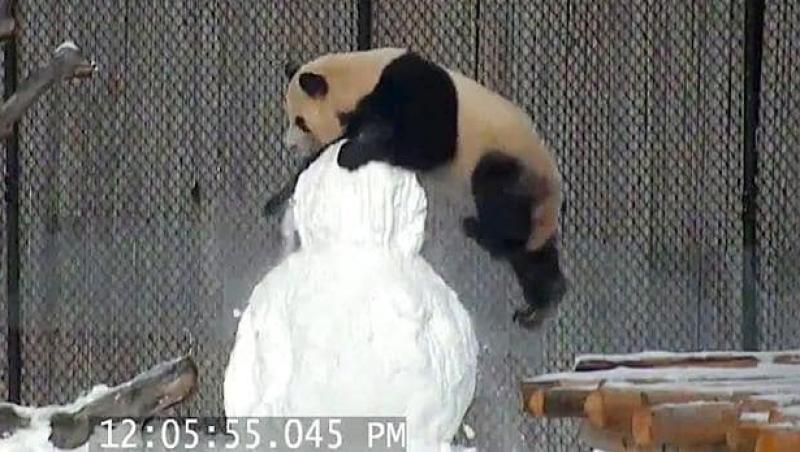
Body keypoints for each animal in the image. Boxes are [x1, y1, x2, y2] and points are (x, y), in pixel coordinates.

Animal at [269, 47, 567, 329]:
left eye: (301, 122)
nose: (289, 144)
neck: (361, 77)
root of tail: (553, 192)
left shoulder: (414, 91)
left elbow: (428, 144)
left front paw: (352, 154)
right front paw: (276, 199)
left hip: (510, 162)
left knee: (496, 193)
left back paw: (481, 232)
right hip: (532, 198)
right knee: (532, 257)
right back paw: (541, 302)